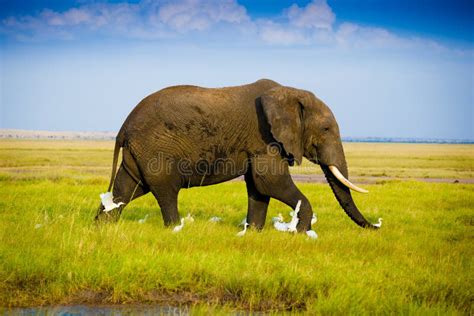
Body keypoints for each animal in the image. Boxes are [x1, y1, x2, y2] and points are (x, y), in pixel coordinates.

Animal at [96, 79, 382, 232]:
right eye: (326, 129)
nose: (377, 226)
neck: (289, 93)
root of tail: (124, 126)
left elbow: (259, 187)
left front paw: (254, 232)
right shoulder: (266, 138)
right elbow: (271, 182)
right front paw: (302, 233)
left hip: (139, 153)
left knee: (126, 189)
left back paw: (101, 227)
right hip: (156, 149)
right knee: (165, 191)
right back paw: (176, 229)